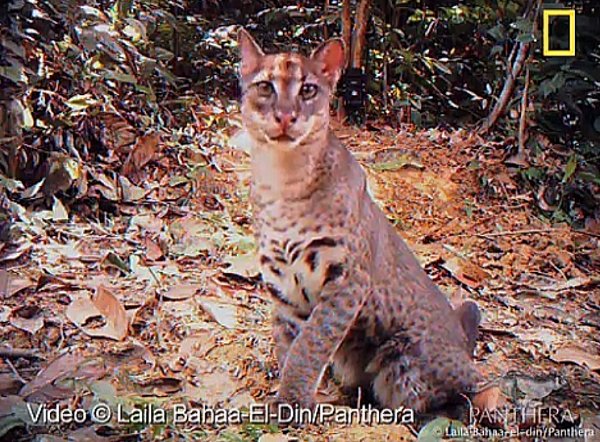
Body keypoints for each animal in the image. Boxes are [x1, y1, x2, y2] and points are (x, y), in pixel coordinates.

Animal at [237, 29, 486, 412]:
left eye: (308, 90)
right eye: (265, 87)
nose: (285, 116)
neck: (283, 175)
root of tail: (462, 343)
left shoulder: (346, 280)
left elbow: (310, 343)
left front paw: (292, 400)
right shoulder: (283, 284)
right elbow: (287, 342)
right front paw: (289, 394)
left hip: (405, 362)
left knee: (471, 387)